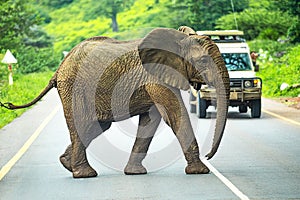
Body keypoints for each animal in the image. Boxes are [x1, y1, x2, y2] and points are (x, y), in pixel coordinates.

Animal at [0, 26, 230, 178]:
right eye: (202, 61)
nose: (209, 155)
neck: (178, 39)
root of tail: (59, 69)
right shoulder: (155, 76)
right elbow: (175, 113)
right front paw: (200, 171)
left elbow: (151, 120)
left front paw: (135, 173)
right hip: (74, 88)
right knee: (83, 124)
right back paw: (84, 174)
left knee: (96, 126)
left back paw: (67, 164)